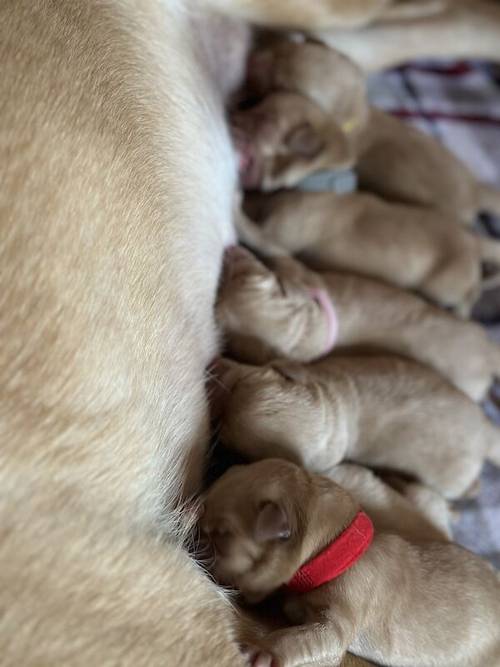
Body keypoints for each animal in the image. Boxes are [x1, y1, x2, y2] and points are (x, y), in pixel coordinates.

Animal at [200, 462, 500, 667]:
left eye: (221, 537)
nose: (195, 537)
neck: (334, 546)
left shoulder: (339, 619)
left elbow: (298, 637)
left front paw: (262, 649)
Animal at [216, 358, 500, 498]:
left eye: (228, 440)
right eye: (237, 383)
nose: (218, 365)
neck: (336, 409)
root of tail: (488, 432)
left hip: (449, 480)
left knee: (471, 489)